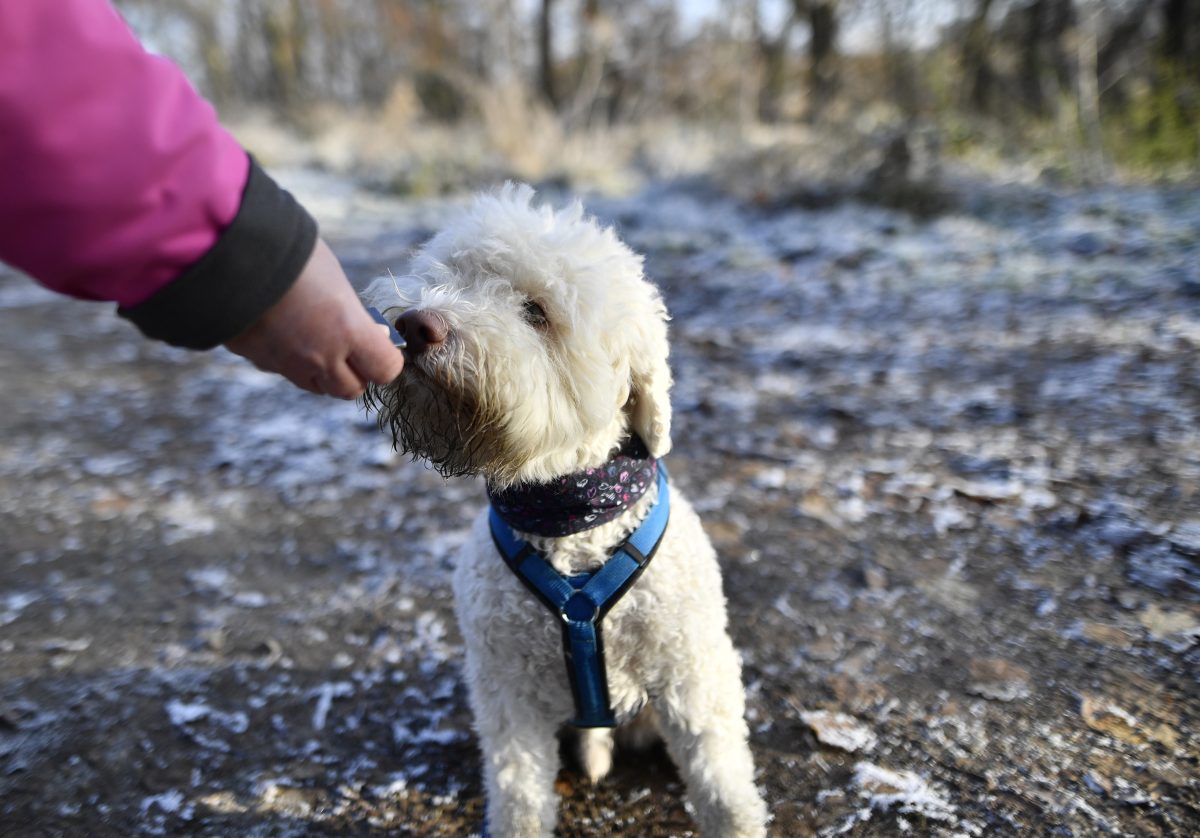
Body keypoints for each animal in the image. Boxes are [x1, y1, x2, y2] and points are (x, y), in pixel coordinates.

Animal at [363, 185, 768, 838]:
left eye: (536, 311)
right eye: (450, 277)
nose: (414, 324)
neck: (569, 518)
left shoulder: (694, 677)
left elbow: (722, 784)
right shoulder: (507, 693)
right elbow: (520, 793)